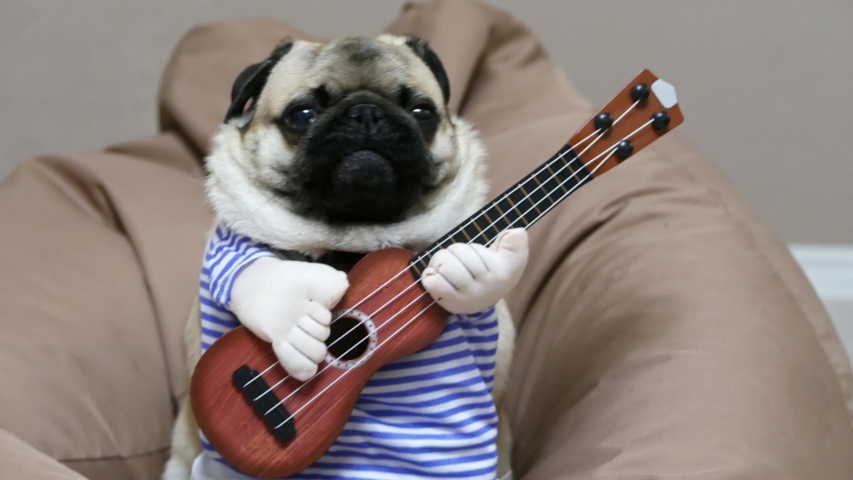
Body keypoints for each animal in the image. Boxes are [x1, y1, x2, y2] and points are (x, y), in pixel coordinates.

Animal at [164, 34, 524, 480]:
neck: (355, 243)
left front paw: (470, 273)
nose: (366, 114)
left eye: (422, 112)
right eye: (302, 115)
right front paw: (293, 319)